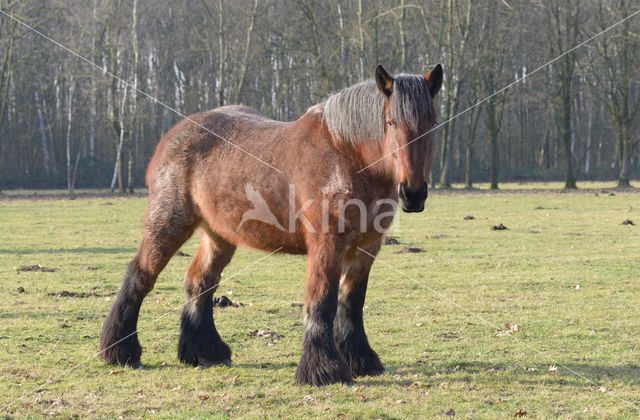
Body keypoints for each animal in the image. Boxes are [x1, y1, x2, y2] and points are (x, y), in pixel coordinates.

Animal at [100, 64, 442, 386]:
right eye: (391, 122)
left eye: (432, 122)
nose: (412, 193)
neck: (346, 155)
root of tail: (175, 134)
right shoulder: (326, 244)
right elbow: (322, 300)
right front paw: (323, 371)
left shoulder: (366, 248)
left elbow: (352, 303)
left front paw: (360, 361)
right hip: (169, 223)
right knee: (141, 275)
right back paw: (120, 351)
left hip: (219, 235)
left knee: (200, 281)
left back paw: (204, 352)